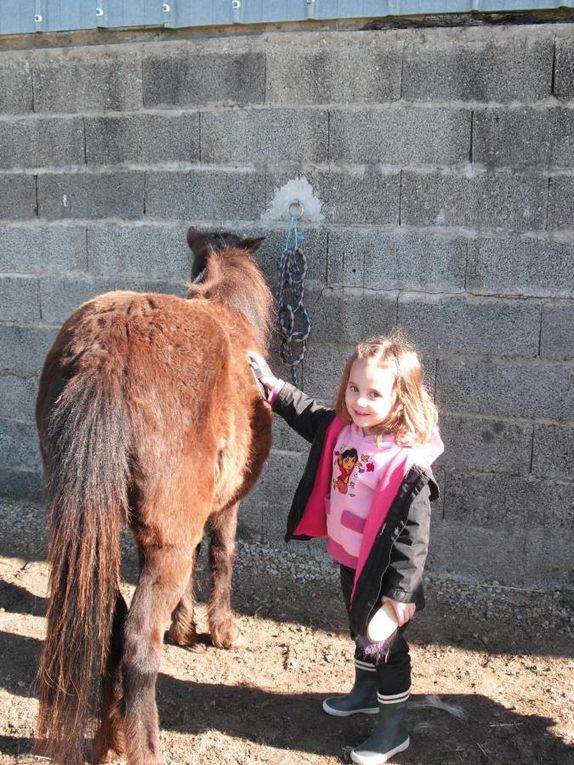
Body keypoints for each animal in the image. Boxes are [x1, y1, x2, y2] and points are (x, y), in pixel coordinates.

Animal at [35, 228, 274, 764]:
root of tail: (105, 355)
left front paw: (183, 625)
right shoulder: (224, 508)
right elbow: (222, 555)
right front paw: (220, 630)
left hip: (90, 532)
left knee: (110, 623)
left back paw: (108, 738)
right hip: (163, 544)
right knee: (138, 642)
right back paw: (141, 745)